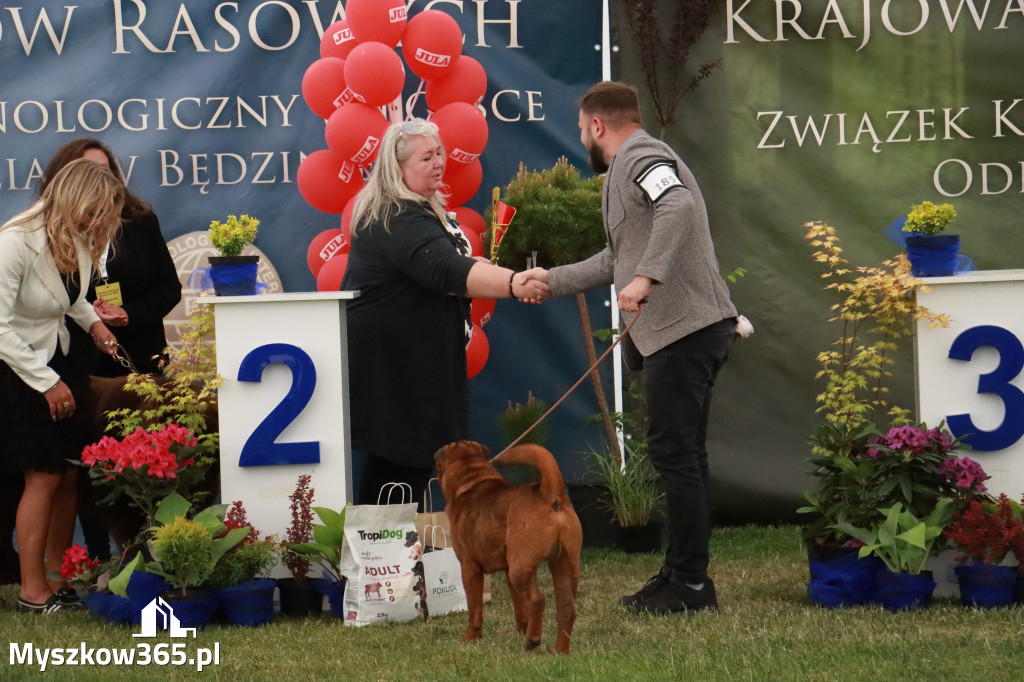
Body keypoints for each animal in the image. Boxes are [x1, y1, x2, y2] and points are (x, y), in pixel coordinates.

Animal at [434, 438, 585, 651]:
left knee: (538, 599)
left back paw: (532, 640)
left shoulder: (470, 568)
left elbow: (474, 610)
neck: (471, 480)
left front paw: (470, 638)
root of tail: (550, 493)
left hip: (520, 568)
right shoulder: (506, 569)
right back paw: (558, 651)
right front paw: (521, 630)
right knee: (566, 608)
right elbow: (520, 607)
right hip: (563, 564)